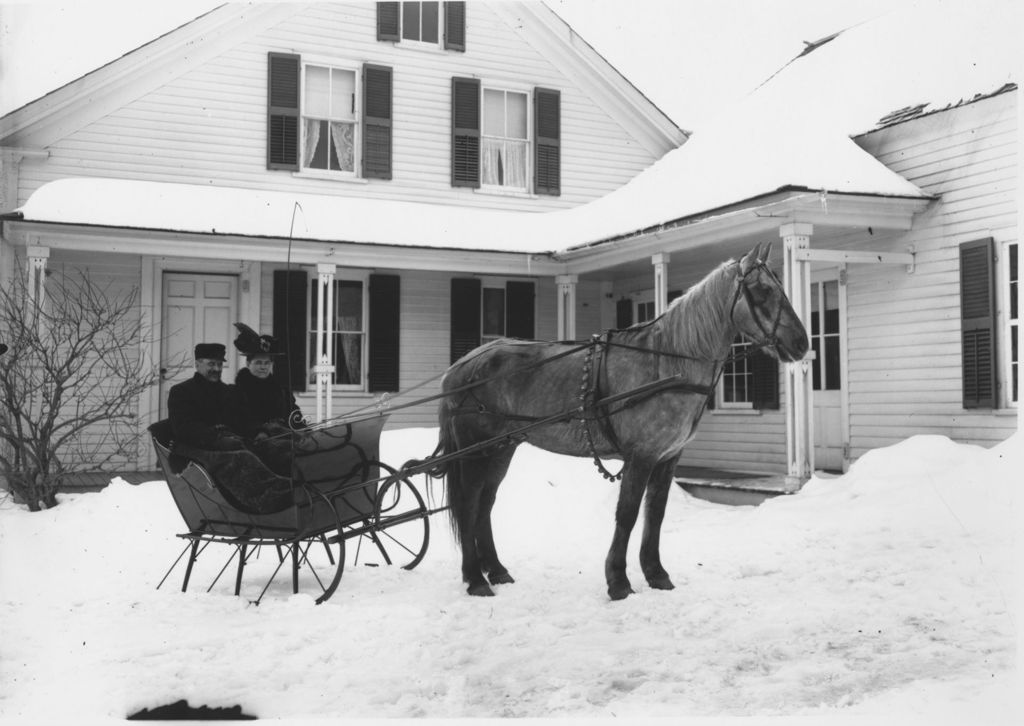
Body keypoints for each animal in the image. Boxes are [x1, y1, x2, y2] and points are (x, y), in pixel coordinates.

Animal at [425, 243, 806, 602]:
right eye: (763, 290)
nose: (802, 342)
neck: (667, 363)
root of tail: (460, 367)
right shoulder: (640, 456)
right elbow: (627, 514)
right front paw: (618, 581)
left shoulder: (668, 459)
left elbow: (655, 514)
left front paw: (656, 574)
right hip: (475, 450)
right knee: (469, 503)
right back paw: (475, 578)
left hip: (501, 448)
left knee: (485, 503)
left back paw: (496, 570)